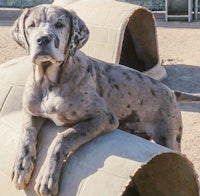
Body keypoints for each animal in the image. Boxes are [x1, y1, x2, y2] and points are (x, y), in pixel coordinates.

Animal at [10, 3, 200, 195]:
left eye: (59, 24)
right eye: (32, 25)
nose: (42, 40)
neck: (49, 82)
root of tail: (171, 91)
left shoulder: (103, 117)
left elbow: (63, 137)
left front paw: (47, 178)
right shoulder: (31, 110)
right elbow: (27, 133)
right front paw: (21, 167)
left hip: (169, 138)